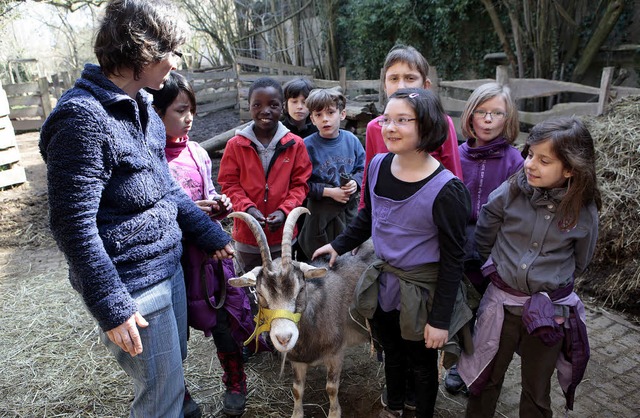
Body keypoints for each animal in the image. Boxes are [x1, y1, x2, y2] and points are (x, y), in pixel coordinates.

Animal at [228, 208, 372, 418]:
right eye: (260, 294)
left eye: (301, 289)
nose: (284, 338)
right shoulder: (297, 360)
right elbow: (297, 390)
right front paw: (297, 413)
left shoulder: (336, 352)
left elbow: (331, 388)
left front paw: (334, 413)